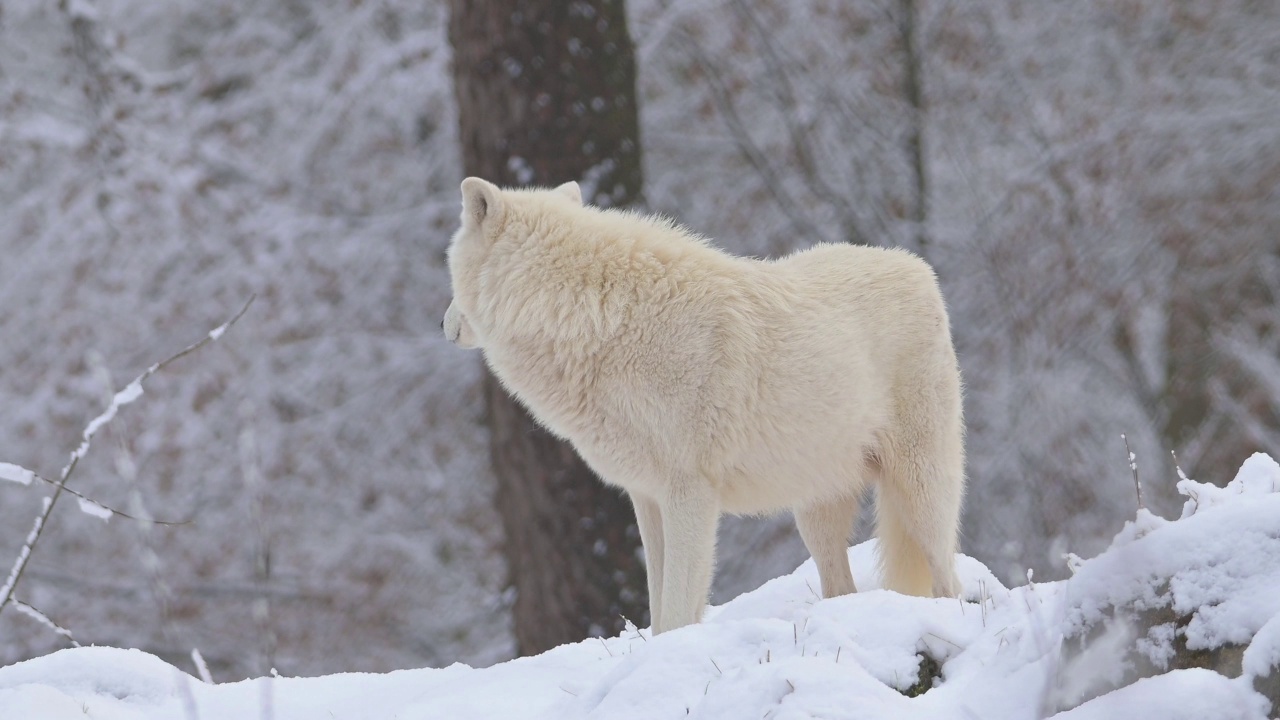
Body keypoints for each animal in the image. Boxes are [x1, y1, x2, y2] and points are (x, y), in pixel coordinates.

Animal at [445, 179, 962, 632]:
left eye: (449, 270)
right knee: (842, 588)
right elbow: (659, 611)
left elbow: (677, 610)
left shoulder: (690, 493)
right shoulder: (647, 497)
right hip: (815, 513)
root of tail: (918, 266)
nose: (445, 324)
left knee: (950, 580)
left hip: (920, 491)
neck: (599, 318)